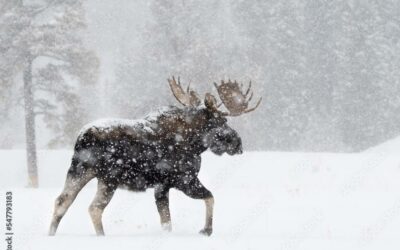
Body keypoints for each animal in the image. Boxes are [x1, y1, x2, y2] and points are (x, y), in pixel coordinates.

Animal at [48, 77, 260, 236]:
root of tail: (82, 136)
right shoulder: (184, 179)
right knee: (94, 208)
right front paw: (206, 230)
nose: (238, 143)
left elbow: (166, 222)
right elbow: (210, 197)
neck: (196, 143)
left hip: (81, 170)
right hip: (109, 177)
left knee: (62, 201)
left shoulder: (161, 186)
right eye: (222, 121)